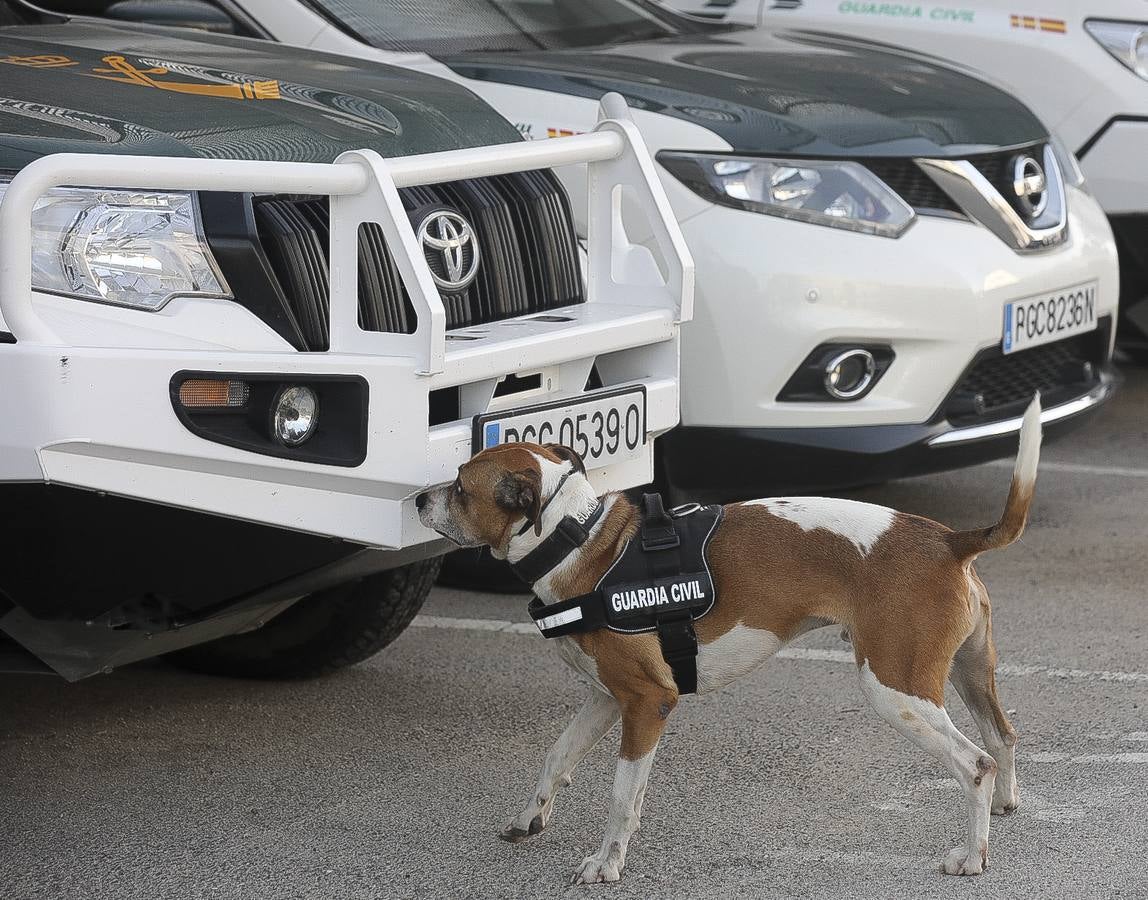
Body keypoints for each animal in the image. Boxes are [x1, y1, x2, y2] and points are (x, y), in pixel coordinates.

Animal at [420, 397, 1042, 881]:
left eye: (460, 486)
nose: (419, 499)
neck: (578, 541)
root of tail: (948, 541)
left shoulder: (648, 703)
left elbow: (622, 795)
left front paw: (607, 863)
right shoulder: (605, 698)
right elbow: (556, 756)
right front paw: (530, 818)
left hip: (895, 689)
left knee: (976, 762)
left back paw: (971, 857)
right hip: (967, 673)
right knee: (1003, 736)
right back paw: (1006, 806)